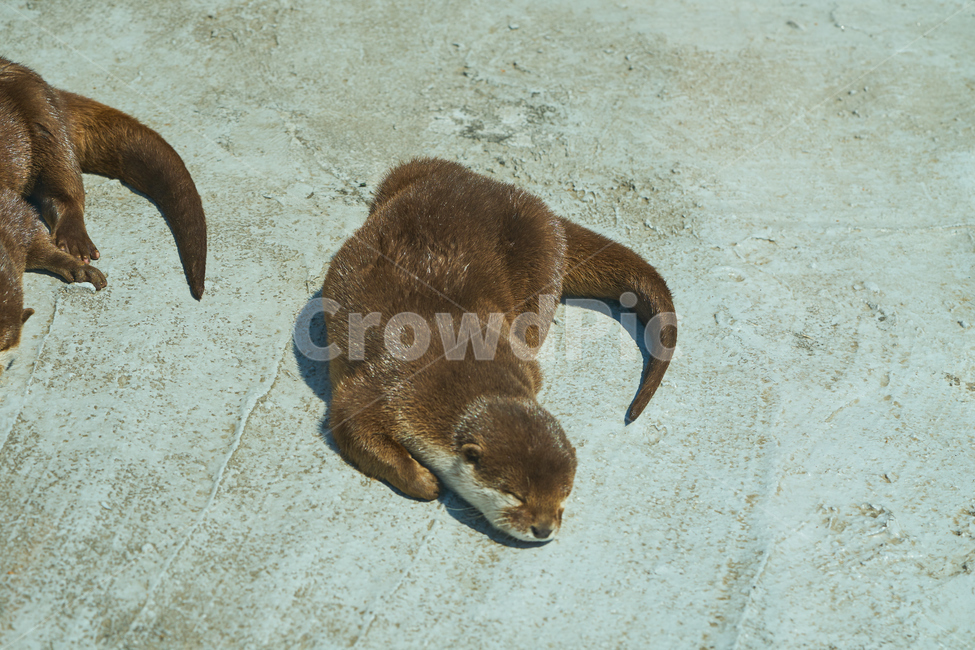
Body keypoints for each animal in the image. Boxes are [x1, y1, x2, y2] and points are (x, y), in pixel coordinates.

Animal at [0, 57, 207, 353]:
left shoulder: (12, 210)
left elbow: (35, 238)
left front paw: (80, 269)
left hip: (42, 112)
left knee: (66, 182)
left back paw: (75, 241)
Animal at [321, 158, 676, 542]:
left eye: (564, 493)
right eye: (515, 494)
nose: (544, 529)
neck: (455, 364)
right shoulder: (385, 387)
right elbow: (350, 423)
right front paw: (425, 481)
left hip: (542, 252)